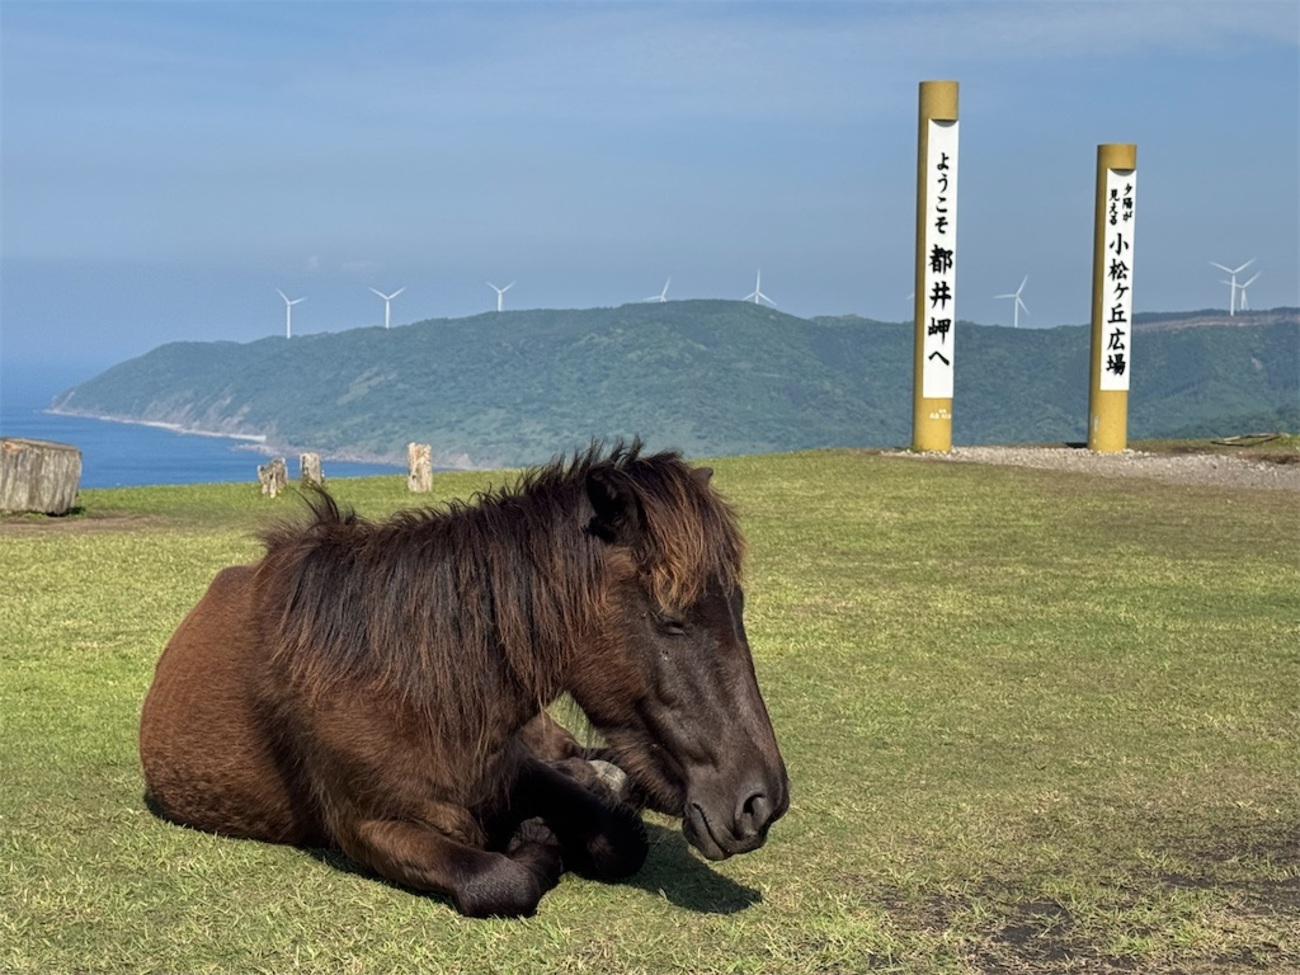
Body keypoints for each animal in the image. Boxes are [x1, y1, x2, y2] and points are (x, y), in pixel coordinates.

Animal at [139, 442, 789, 917]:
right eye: (669, 616)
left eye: (737, 604)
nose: (760, 803)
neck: (406, 678)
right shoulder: (368, 828)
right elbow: (500, 881)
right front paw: (535, 839)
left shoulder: (519, 770)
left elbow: (618, 840)